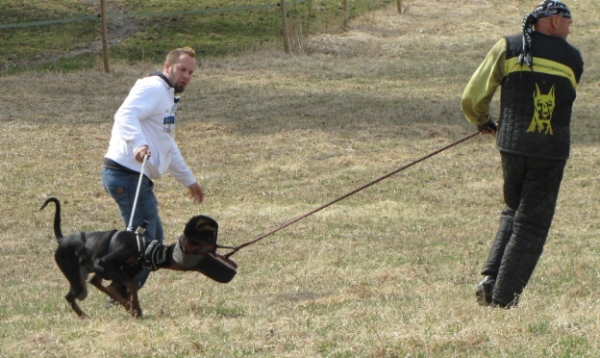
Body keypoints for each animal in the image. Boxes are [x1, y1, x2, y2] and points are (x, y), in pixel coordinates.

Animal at [39, 197, 236, 318]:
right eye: (202, 242)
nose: (218, 248)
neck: (147, 249)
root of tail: (62, 238)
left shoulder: (118, 272)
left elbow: (120, 288)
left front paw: (133, 308)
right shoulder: (108, 263)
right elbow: (131, 286)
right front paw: (134, 307)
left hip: (90, 274)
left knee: (89, 287)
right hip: (77, 278)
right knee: (71, 296)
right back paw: (83, 316)